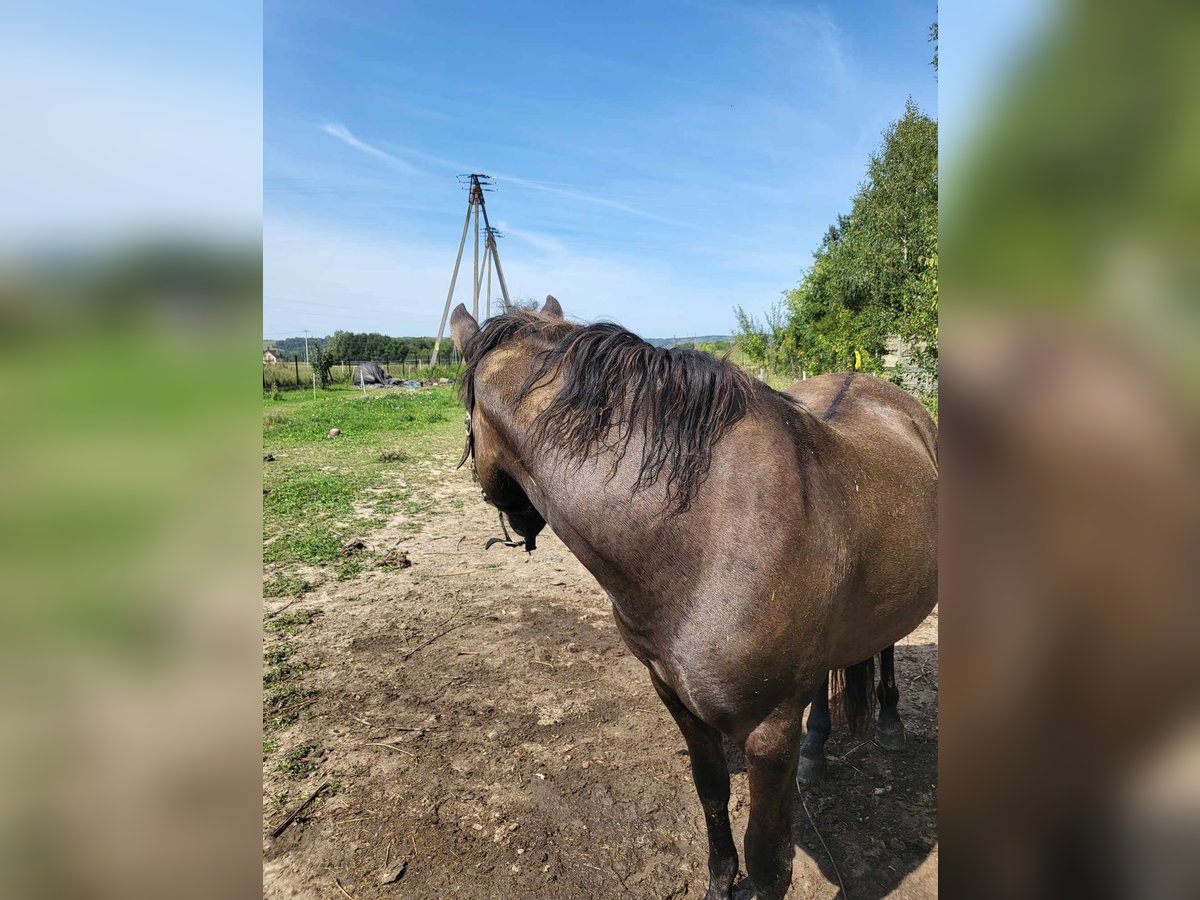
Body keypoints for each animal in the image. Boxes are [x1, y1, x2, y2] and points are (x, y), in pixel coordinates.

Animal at [451, 300, 936, 897]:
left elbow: (769, 860)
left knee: (886, 645)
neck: (705, 534)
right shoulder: (675, 697)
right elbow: (711, 793)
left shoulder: (770, 732)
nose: (518, 523)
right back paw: (817, 748)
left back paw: (889, 724)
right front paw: (720, 880)